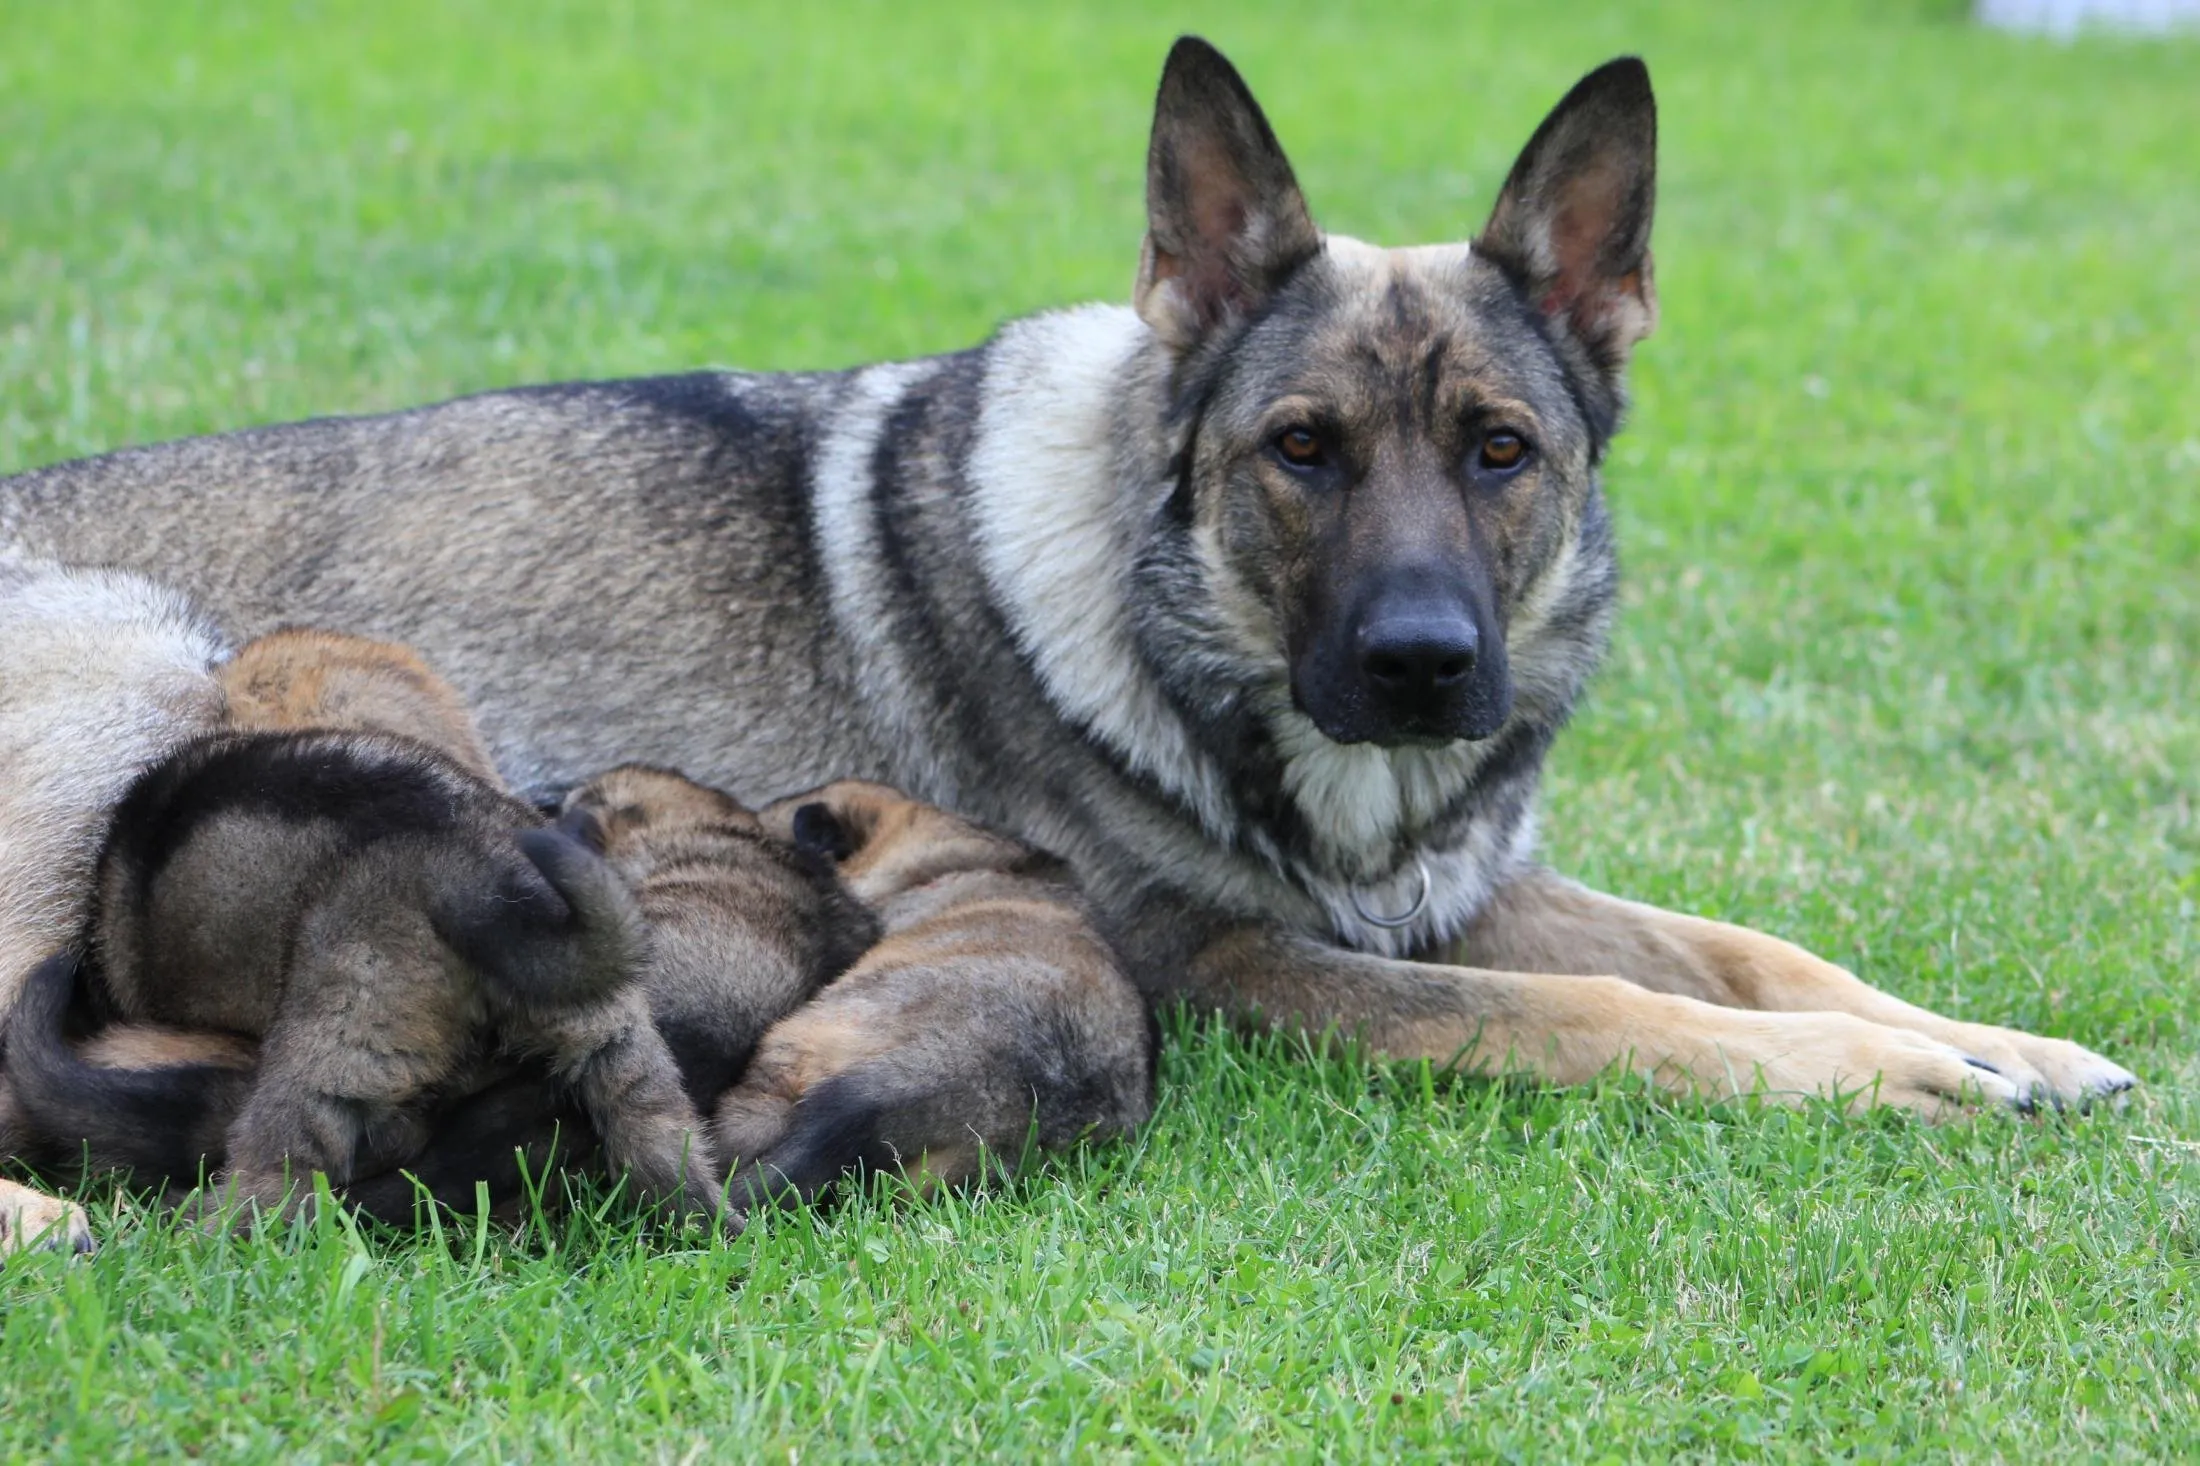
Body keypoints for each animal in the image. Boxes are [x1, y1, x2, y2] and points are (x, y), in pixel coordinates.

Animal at [4, 629, 717, 1223]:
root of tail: (484, 879)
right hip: (615, 1035)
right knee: (660, 1134)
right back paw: (708, 1227)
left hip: (337, 1031)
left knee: (281, 1168)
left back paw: (206, 1234)